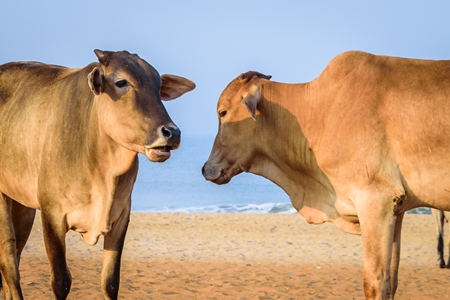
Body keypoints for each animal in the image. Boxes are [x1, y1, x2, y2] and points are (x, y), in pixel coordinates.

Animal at [0, 50, 195, 298]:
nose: (172, 132)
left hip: (23, 207)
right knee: (10, 266)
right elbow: (61, 281)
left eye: (158, 85)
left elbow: (110, 280)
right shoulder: (52, 214)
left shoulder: (121, 216)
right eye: (121, 82)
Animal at [203, 50, 450, 298]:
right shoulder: (397, 211)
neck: (320, 114)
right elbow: (391, 282)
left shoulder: (377, 201)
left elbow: (375, 282)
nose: (205, 168)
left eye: (222, 112)